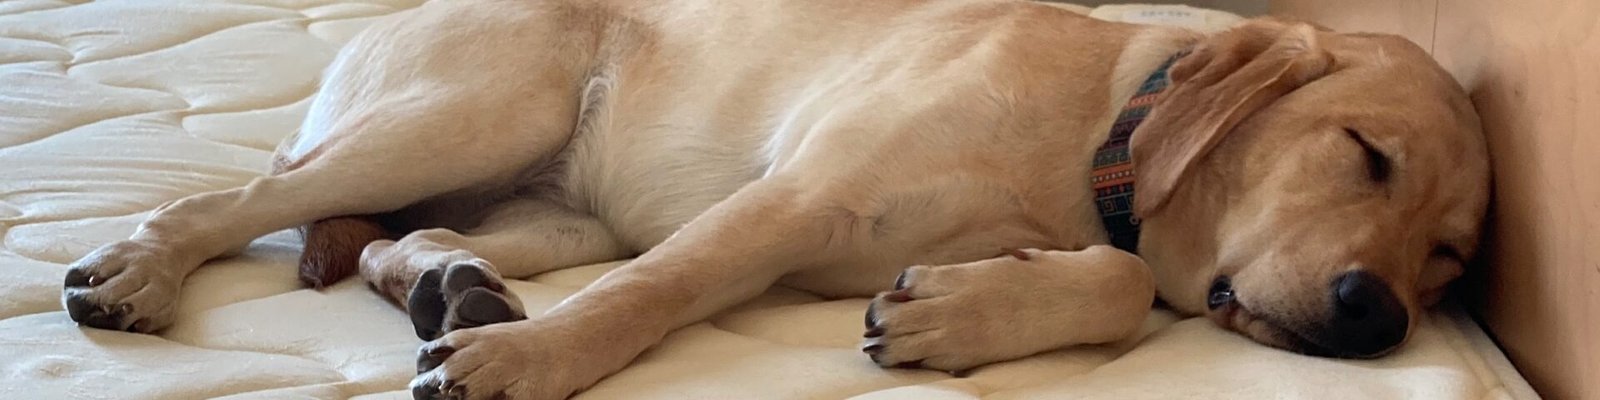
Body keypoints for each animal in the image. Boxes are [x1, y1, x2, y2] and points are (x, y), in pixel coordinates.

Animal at [59, 0, 1484, 398]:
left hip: (557, 207)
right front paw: (538, 361)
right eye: (1364, 154)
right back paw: (138, 269)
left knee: (386, 242)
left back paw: (453, 286)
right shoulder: (794, 200)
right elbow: (652, 295)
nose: (1375, 318)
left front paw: (954, 312)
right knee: (246, 195)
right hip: (472, 109)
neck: (1095, 131)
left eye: (1448, 262)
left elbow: (1127, 279)